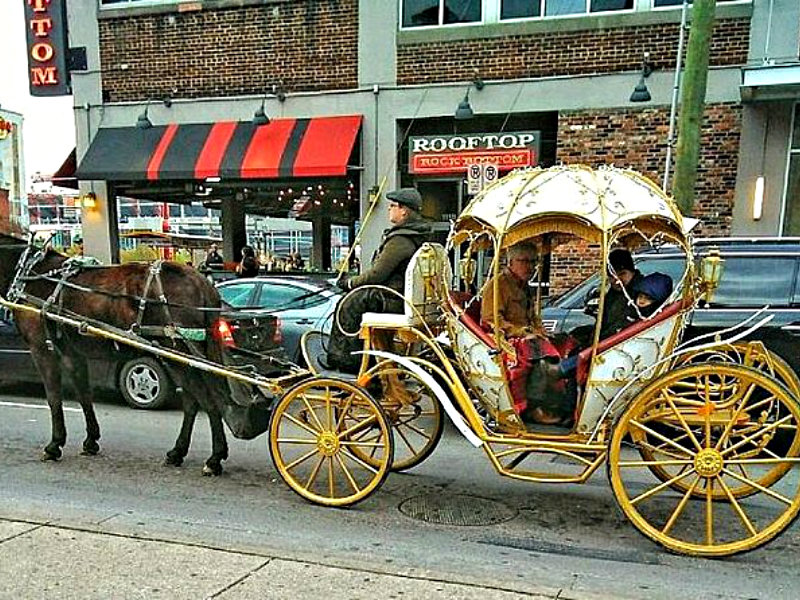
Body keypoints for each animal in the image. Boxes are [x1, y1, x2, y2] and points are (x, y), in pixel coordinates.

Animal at [0, 234, 231, 474]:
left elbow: (54, 397)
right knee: (192, 402)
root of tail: (202, 283)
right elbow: (84, 394)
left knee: (207, 401)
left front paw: (54, 445)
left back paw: (214, 458)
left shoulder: (42, 348)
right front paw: (91, 440)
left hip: (180, 353)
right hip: (178, 357)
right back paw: (177, 452)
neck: (29, 272)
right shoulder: (72, 352)